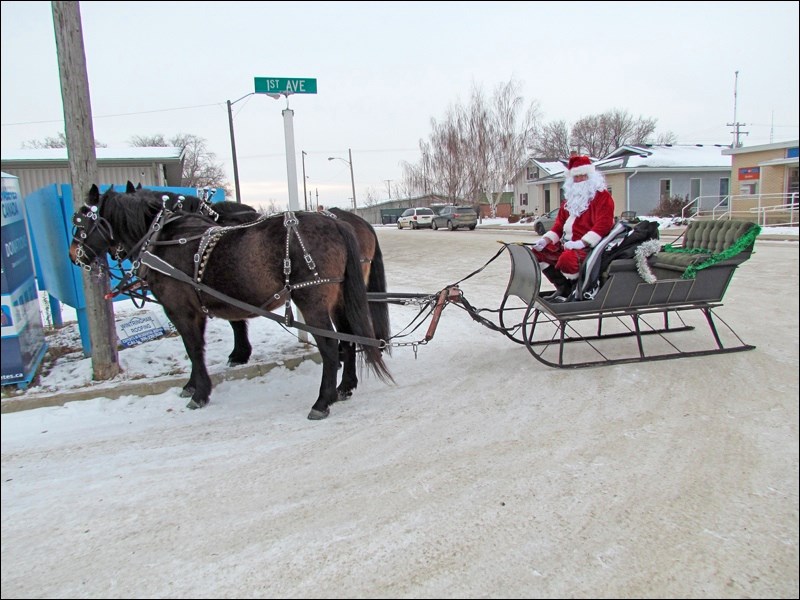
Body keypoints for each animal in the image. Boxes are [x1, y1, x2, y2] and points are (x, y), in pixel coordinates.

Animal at [72, 185, 390, 420]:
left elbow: (194, 348)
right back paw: (345, 387)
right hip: (338, 298)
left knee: (330, 345)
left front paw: (200, 391)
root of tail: (337, 222)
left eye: (81, 220)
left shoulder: (180, 309)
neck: (162, 238)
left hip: (312, 299)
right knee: (348, 337)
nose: (75, 255)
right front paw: (194, 384)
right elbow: (204, 343)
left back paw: (323, 401)